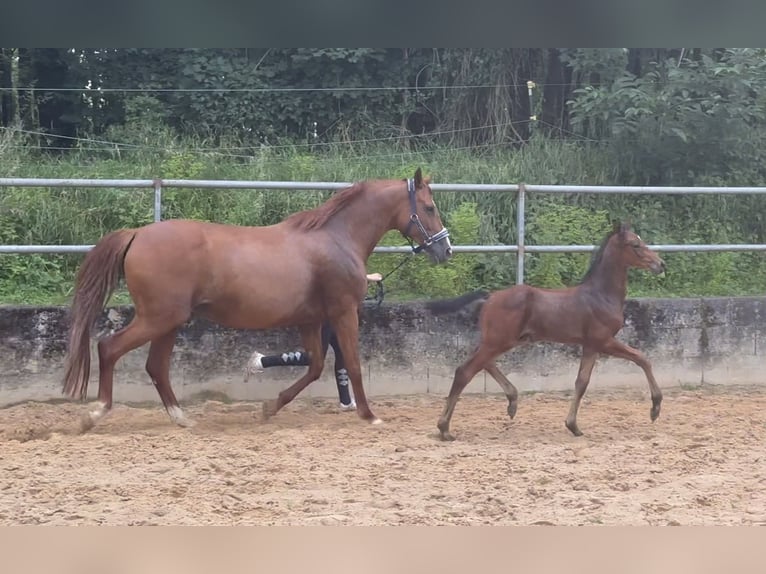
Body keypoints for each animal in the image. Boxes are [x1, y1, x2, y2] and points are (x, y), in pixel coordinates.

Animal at [62, 168, 452, 431]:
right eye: (430, 207)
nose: (446, 249)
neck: (336, 238)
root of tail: (138, 234)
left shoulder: (311, 319)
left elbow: (313, 366)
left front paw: (269, 408)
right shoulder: (344, 312)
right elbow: (352, 364)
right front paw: (370, 416)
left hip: (168, 322)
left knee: (156, 367)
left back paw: (181, 418)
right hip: (157, 318)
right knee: (109, 348)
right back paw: (95, 413)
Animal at [425, 221, 666, 441]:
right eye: (635, 244)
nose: (660, 264)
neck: (600, 295)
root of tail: (490, 296)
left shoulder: (590, 346)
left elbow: (582, 382)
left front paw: (573, 426)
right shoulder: (603, 341)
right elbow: (642, 359)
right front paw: (655, 408)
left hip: (502, 340)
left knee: (484, 363)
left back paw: (512, 401)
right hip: (499, 341)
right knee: (465, 371)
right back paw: (444, 428)